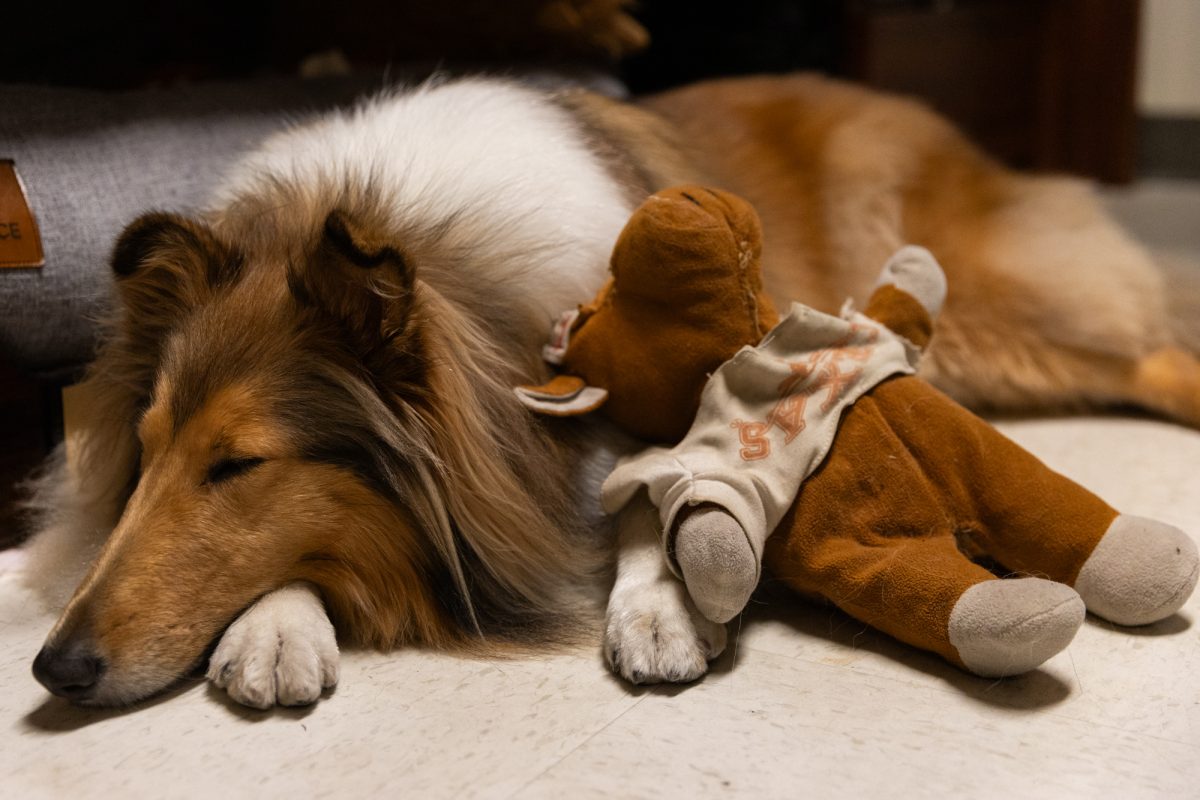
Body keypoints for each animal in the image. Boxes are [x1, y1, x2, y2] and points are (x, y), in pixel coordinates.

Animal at [18, 73, 1200, 705]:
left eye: (240, 463)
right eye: (147, 451)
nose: (54, 666)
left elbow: (654, 490)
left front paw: (662, 601)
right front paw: (271, 627)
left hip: (1001, 317)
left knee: (1149, 348)